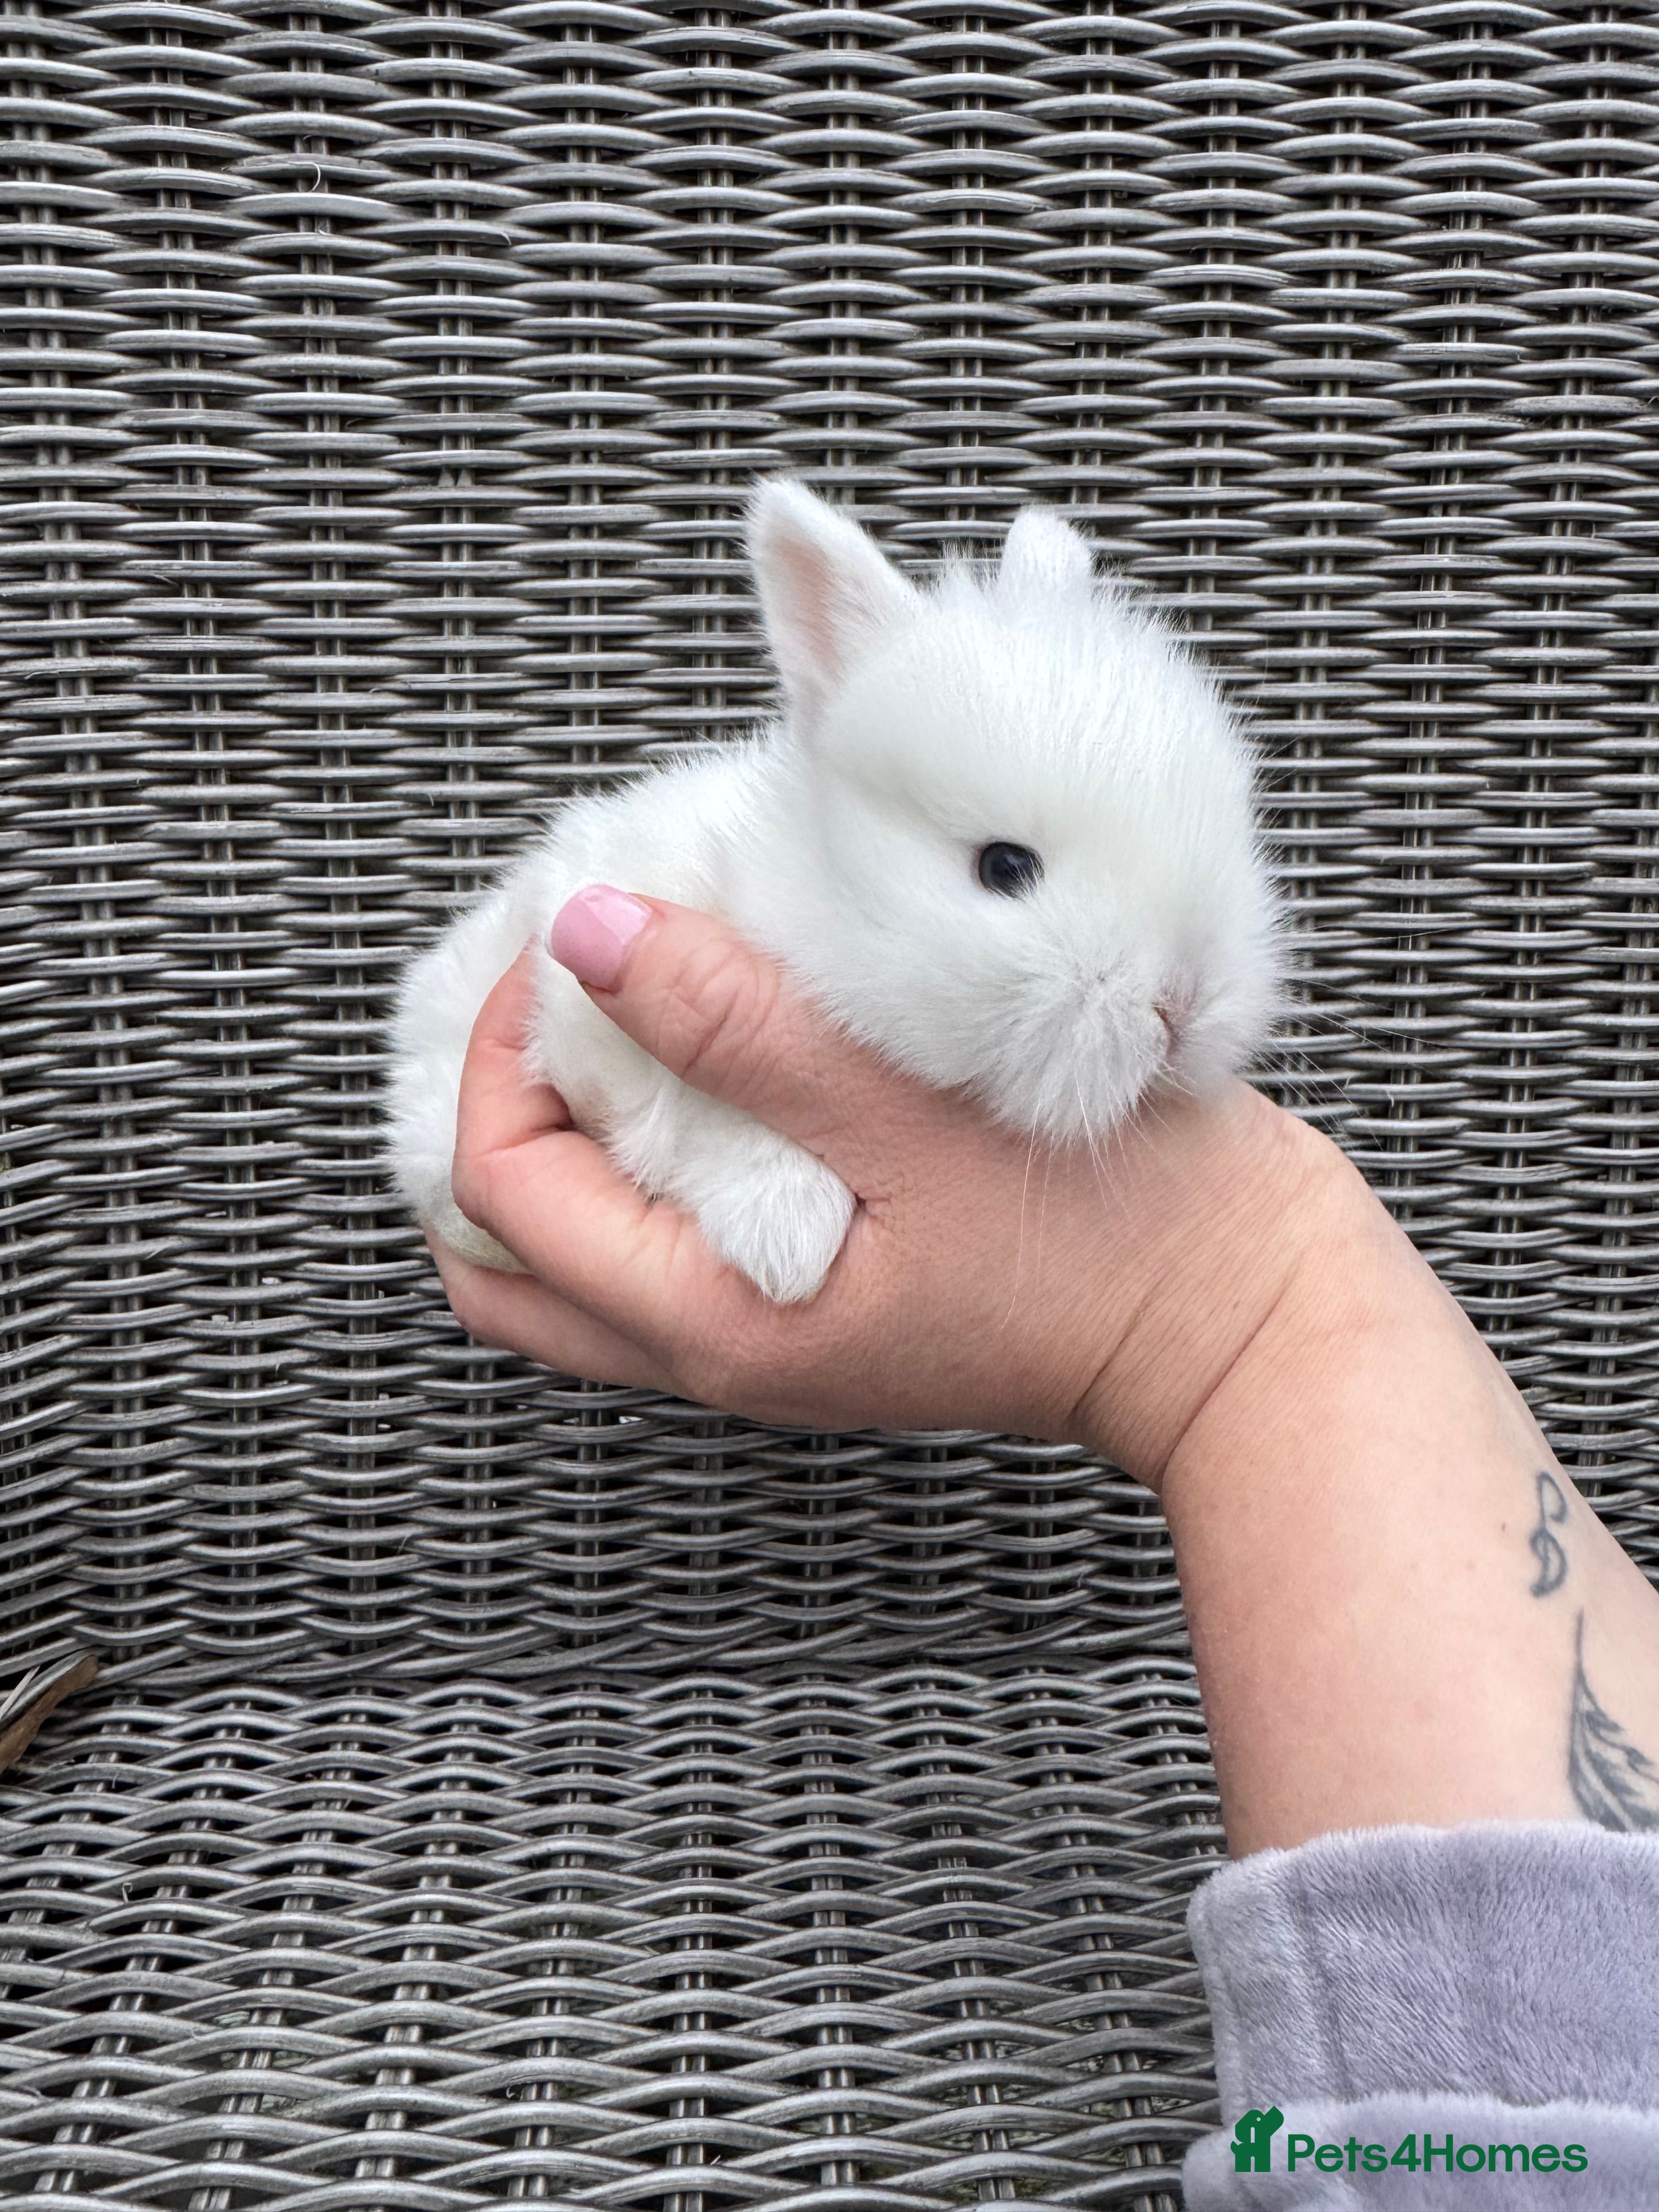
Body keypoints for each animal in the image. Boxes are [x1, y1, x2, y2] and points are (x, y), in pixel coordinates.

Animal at [386, 480, 1282, 1304]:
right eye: (1004, 867)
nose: (1182, 1005)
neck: (829, 905)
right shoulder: (591, 1001)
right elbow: (696, 1117)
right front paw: (788, 1234)